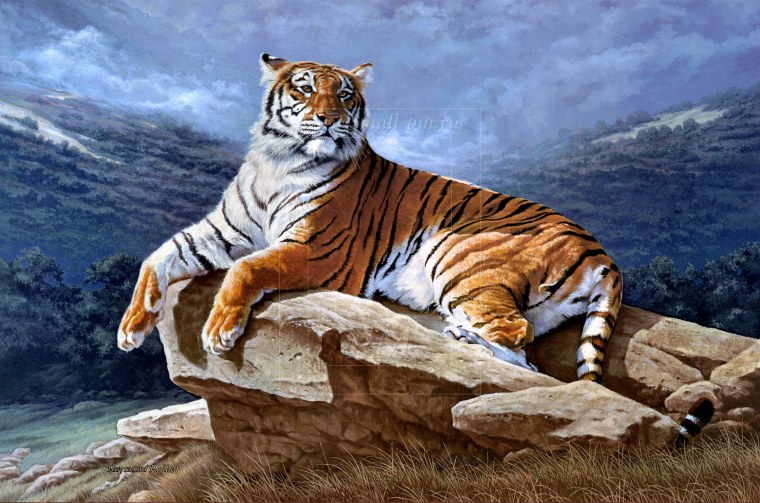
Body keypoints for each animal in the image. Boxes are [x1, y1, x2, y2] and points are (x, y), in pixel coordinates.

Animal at [116, 55, 714, 441]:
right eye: (304, 89)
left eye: (346, 95)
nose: (329, 118)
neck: (278, 160)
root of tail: (602, 253)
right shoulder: (220, 230)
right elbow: (158, 257)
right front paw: (131, 328)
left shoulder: (317, 250)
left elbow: (247, 267)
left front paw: (219, 331)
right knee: (526, 352)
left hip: (458, 253)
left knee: (515, 337)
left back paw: (462, 340)